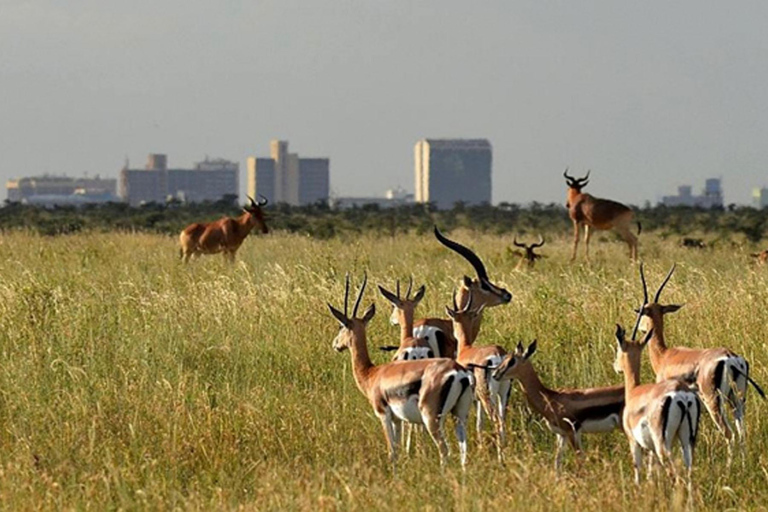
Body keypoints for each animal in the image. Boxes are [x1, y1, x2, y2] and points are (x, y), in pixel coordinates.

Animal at [328, 274, 474, 470]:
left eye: (341, 326)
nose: (336, 344)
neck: (373, 374)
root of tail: (458, 372)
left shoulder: (384, 415)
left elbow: (392, 452)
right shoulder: (397, 420)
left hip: (431, 418)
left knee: (445, 451)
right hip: (460, 416)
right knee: (464, 452)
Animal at [444, 290, 510, 454]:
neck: (466, 349)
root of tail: (498, 354)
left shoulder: (473, 399)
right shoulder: (477, 400)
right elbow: (479, 424)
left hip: (487, 396)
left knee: (496, 421)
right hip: (502, 394)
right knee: (502, 420)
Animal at [492, 340, 624, 472]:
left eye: (512, 361)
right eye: (504, 358)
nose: (494, 375)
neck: (551, 398)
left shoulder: (572, 432)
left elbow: (580, 460)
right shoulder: (561, 435)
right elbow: (557, 462)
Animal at [612, 320, 704, 484]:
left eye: (618, 349)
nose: (615, 366)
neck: (634, 391)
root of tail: (682, 395)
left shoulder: (633, 441)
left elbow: (638, 469)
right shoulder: (650, 448)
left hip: (662, 444)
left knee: (674, 473)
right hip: (687, 440)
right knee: (689, 469)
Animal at [632, 262, 764, 446]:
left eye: (644, 312)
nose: (641, 328)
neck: (664, 356)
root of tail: (730, 358)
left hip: (713, 401)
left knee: (729, 433)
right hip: (737, 400)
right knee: (742, 433)